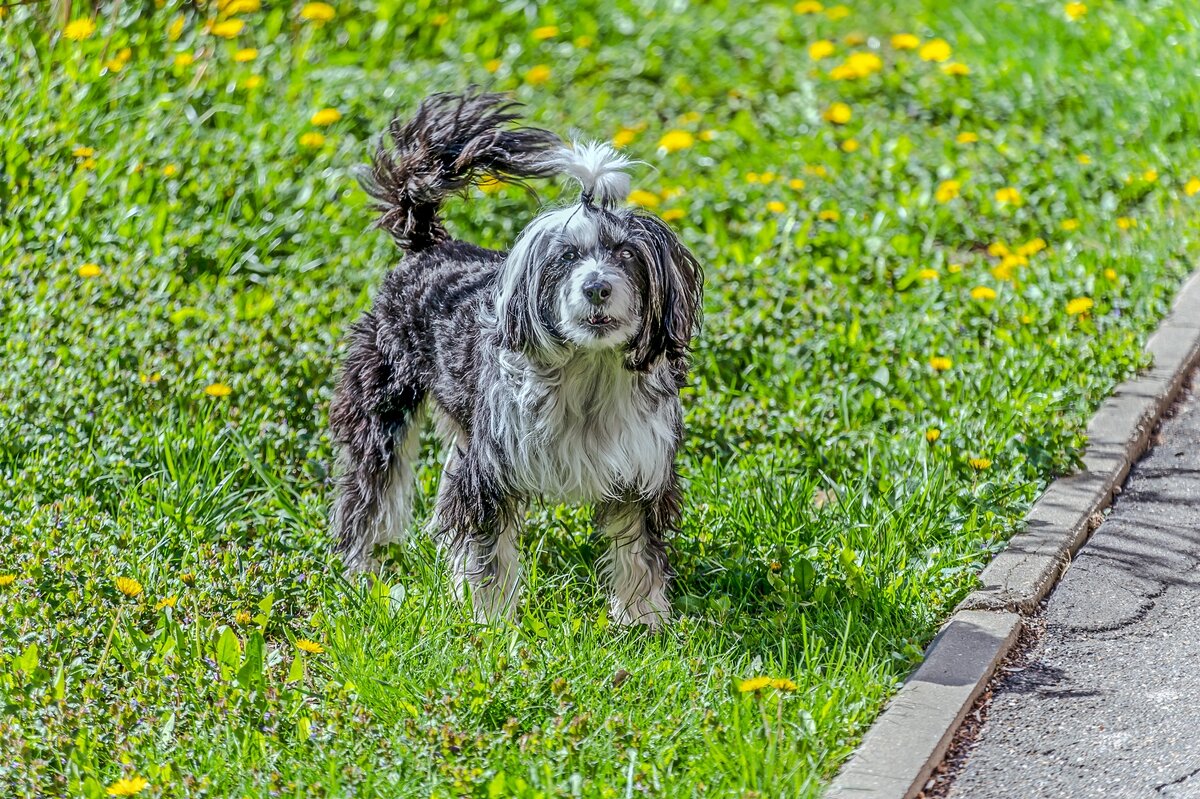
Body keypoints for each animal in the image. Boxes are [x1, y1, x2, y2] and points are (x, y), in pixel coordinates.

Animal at [328, 91, 700, 628]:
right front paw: (488, 621)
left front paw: (642, 620)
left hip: (461, 428)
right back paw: (361, 572)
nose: (597, 287)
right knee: (367, 496)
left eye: (627, 254)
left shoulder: (641, 476)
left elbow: (638, 556)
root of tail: (428, 244)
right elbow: (487, 553)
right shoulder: (491, 472)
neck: (587, 378)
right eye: (566, 257)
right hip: (381, 407)